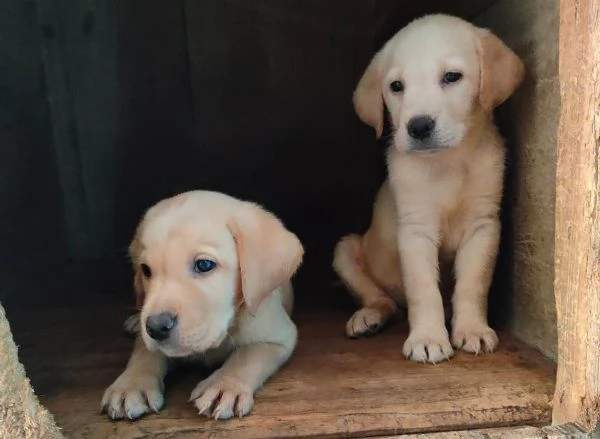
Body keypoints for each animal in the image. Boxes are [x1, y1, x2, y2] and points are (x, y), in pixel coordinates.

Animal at [101, 191, 304, 422]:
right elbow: (144, 353)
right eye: (145, 270)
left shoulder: (278, 337)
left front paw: (225, 385)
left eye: (204, 264)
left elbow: (247, 356)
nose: (156, 327)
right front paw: (131, 384)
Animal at [332, 14, 524, 364]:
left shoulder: (483, 226)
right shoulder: (415, 230)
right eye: (396, 86)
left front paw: (473, 329)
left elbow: (473, 285)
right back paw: (369, 317)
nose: (418, 126)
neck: (448, 163)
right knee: (386, 302)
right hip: (345, 250)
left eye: (451, 77)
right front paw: (427, 338)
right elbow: (424, 291)